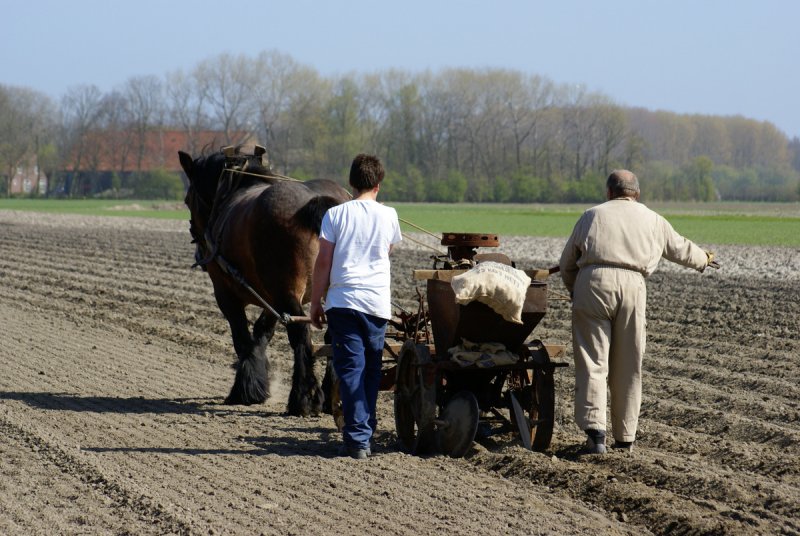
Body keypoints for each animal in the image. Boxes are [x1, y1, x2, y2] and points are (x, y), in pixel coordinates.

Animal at [178, 146, 350, 416]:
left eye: (188, 200)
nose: (198, 247)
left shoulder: (226, 294)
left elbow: (242, 338)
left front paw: (244, 389)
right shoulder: (272, 299)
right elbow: (262, 332)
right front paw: (256, 382)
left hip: (286, 292)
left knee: (300, 336)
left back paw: (304, 398)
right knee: (334, 335)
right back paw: (331, 397)